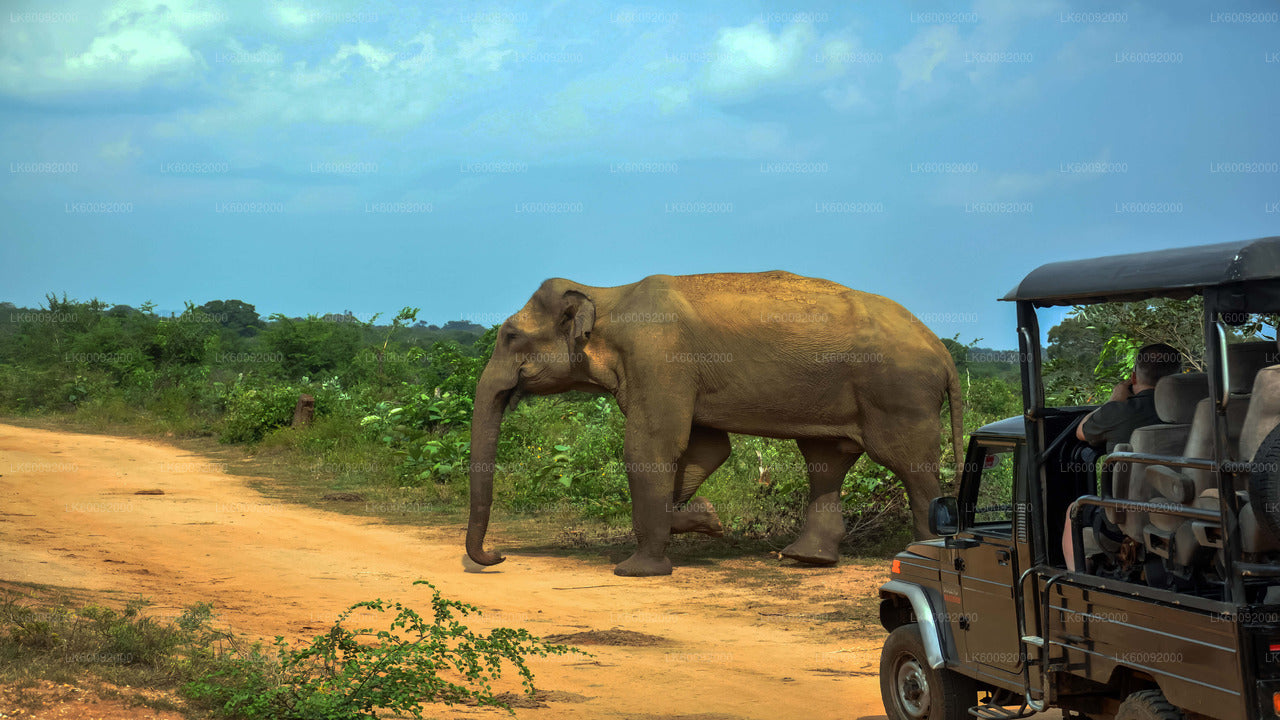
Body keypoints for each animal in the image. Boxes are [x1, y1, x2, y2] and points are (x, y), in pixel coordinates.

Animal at [466, 271, 963, 577]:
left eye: (510, 336)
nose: (498, 555)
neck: (606, 295)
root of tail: (943, 353)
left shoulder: (659, 358)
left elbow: (651, 447)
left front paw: (636, 571)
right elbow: (707, 449)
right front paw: (707, 519)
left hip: (899, 394)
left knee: (910, 465)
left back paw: (918, 558)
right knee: (826, 460)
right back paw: (806, 559)